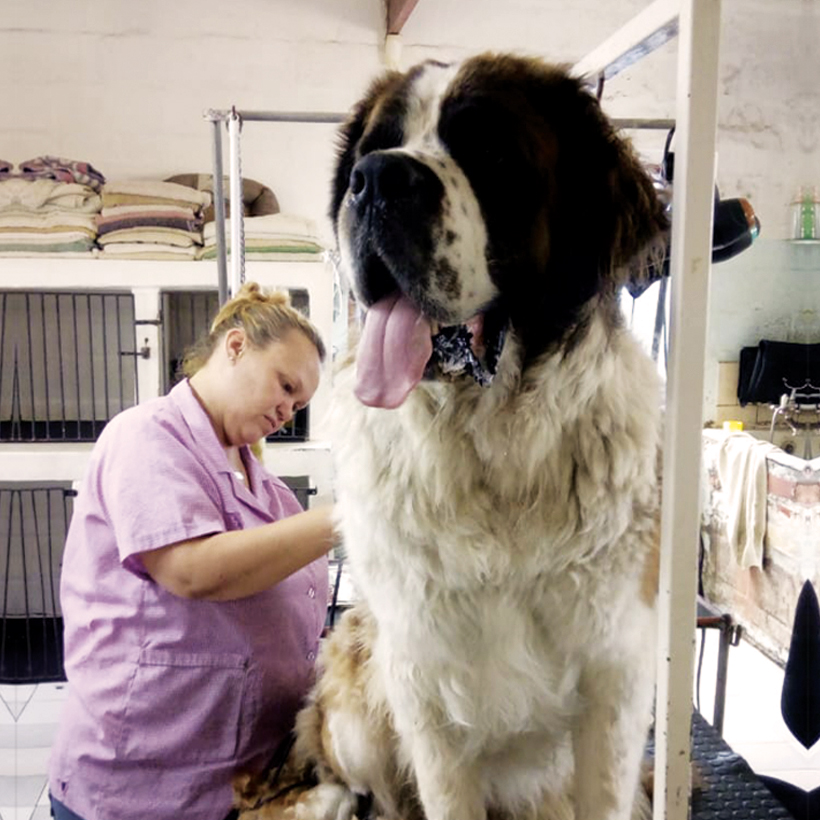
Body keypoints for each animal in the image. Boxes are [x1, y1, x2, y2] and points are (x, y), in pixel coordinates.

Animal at [236, 53, 669, 820]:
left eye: (491, 151)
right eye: (375, 146)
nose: (377, 178)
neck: (493, 450)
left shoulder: (614, 687)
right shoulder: (425, 689)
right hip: (360, 704)